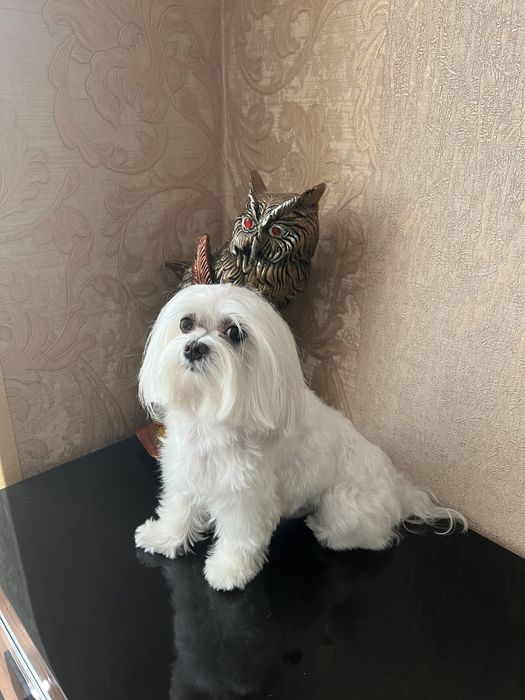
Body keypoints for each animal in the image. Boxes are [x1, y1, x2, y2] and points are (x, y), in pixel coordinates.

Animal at [135, 284, 466, 590]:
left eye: (234, 332)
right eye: (186, 323)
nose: (194, 347)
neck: (208, 413)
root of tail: (399, 491)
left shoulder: (247, 496)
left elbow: (240, 537)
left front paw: (229, 570)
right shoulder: (184, 469)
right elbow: (178, 511)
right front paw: (163, 537)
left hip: (343, 505)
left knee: (374, 537)